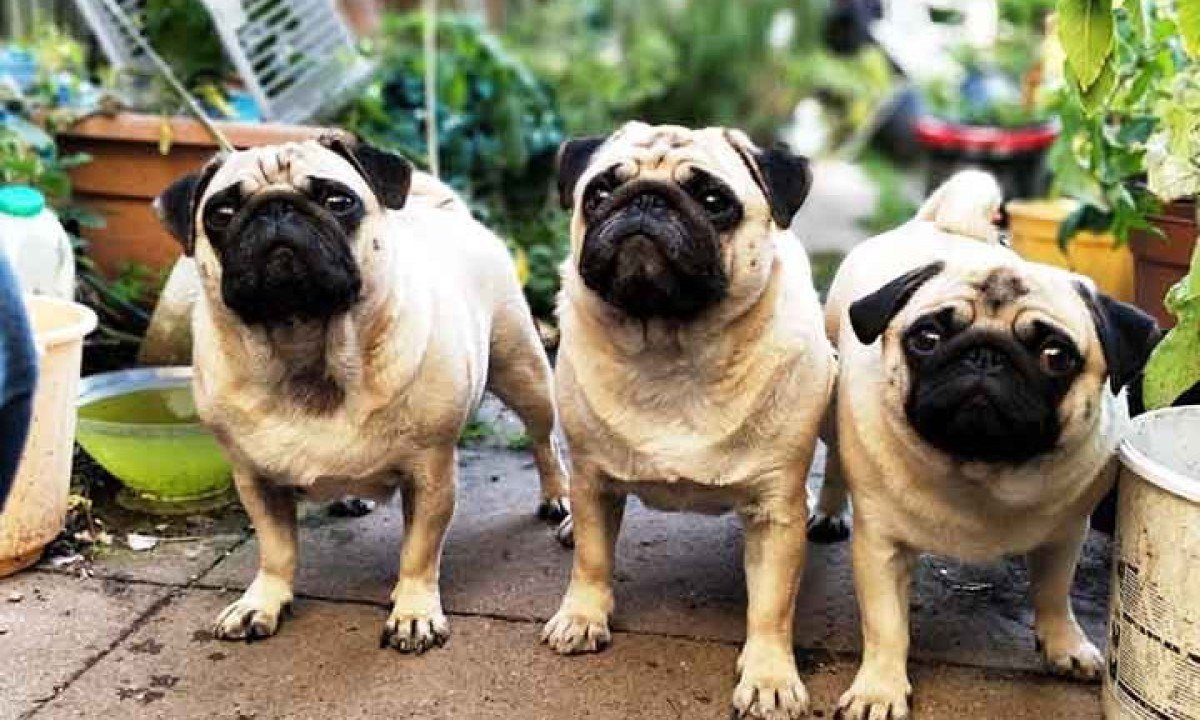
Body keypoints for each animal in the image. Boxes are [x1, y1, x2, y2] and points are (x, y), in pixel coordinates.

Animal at [155, 132, 569, 651]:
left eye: (338, 201)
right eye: (222, 213)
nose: (276, 208)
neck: (305, 348)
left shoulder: (430, 473)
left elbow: (418, 551)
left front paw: (413, 612)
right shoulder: (254, 479)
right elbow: (276, 549)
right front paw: (262, 601)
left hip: (524, 374)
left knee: (542, 440)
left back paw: (557, 496)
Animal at [541, 122, 837, 720]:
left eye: (713, 201)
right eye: (599, 192)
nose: (647, 199)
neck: (672, 349)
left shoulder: (774, 513)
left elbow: (771, 606)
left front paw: (770, 677)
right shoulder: (593, 481)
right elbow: (591, 559)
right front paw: (582, 616)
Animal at [817, 171, 1159, 719]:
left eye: (1055, 355)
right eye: (927, 338)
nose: (985, 356)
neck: (981, 471)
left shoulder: (1066, 533)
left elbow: (1053, 594)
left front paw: (1064, 645)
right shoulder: (881, 545)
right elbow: (887, 626)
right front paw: (880, 689)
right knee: (832, 462)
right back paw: (828, 512)